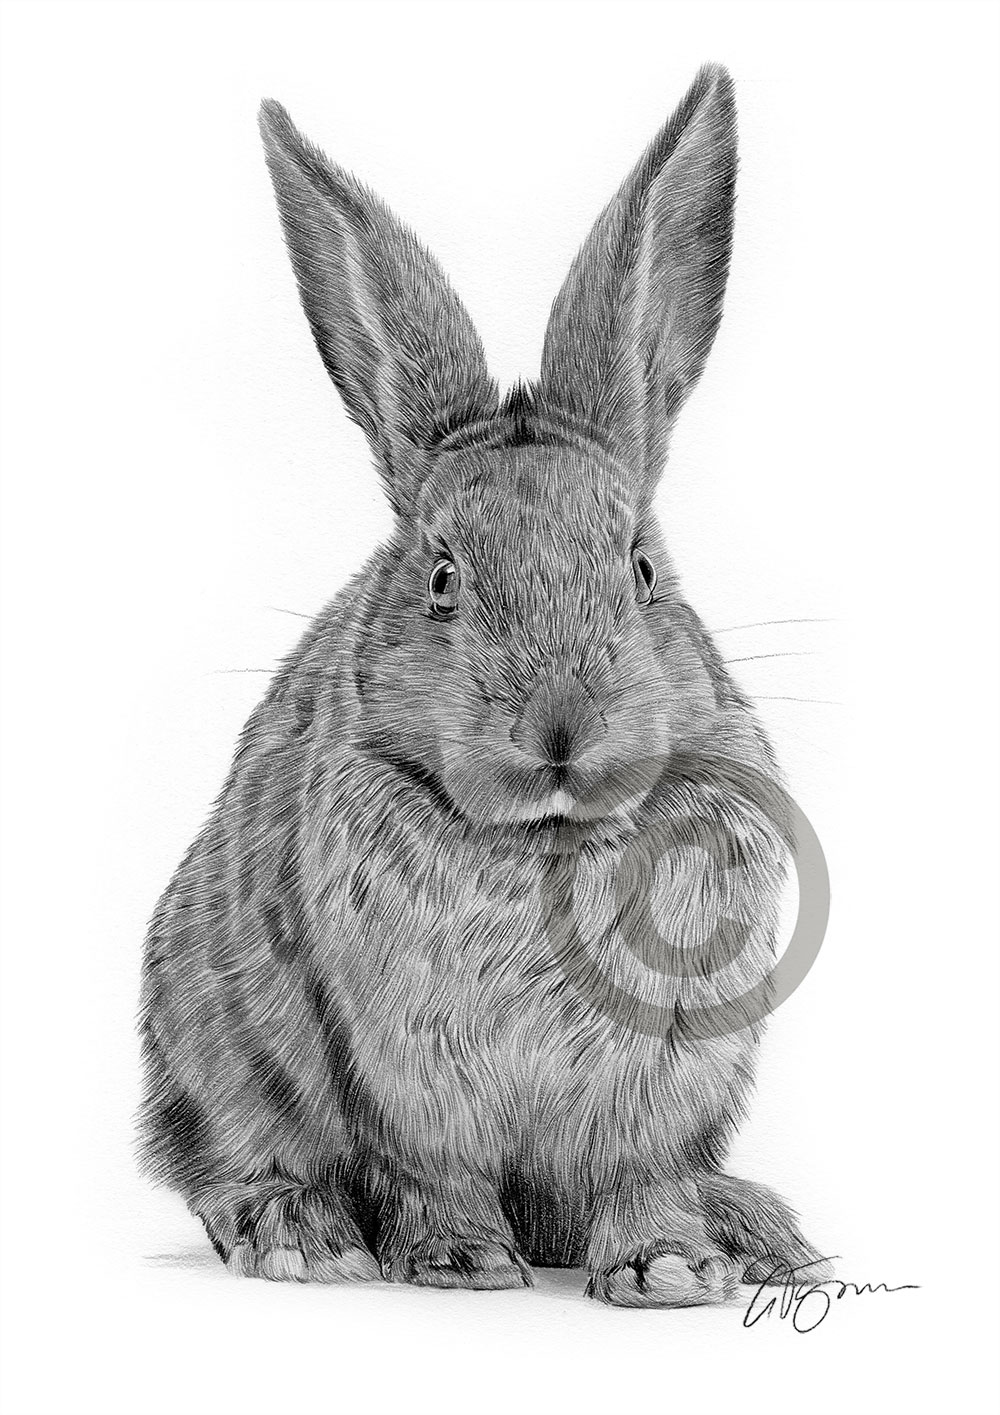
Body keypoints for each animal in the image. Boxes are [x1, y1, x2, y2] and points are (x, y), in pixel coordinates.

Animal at [138, 63, 828, 1306]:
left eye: (640, 568)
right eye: (443, 576)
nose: (559, 724)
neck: (545, 837)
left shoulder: (657, 1079)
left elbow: (636, 1175)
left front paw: (668, 1267)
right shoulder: (405, 1073)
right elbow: (433, 1170)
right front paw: (460, 1264)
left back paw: (758, 1230)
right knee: (227, 1162)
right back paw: (301, 1231)